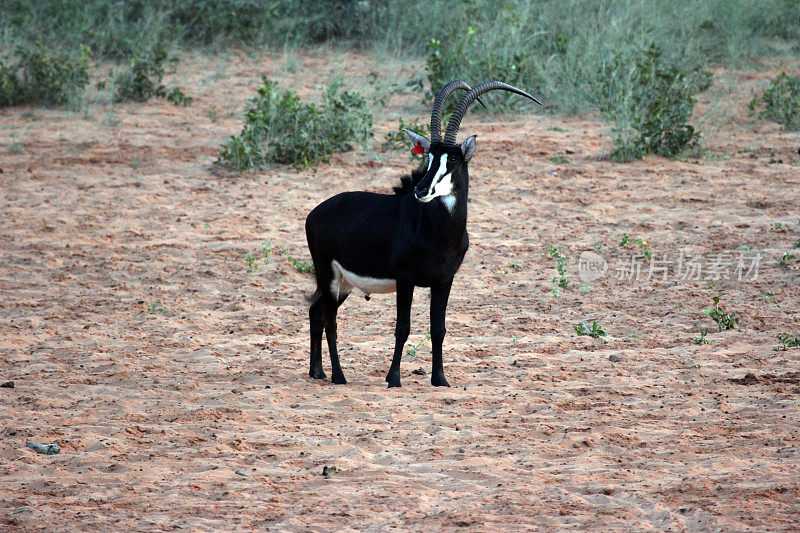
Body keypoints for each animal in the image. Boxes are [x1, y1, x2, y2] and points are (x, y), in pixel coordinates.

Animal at [304, 79, 540, 386]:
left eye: (452, 161)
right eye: (429, 158)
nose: (420, 189)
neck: (438, 232)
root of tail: (315, 213)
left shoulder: (444, 281)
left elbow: (438, 329)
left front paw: (440, 379)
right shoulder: (406, 279)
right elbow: (402, 327)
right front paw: (393, 378)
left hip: (343, 283)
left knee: (316, 312)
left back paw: (317, 371)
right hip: (329, 276)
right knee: (329, 320)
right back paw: (338, 376)